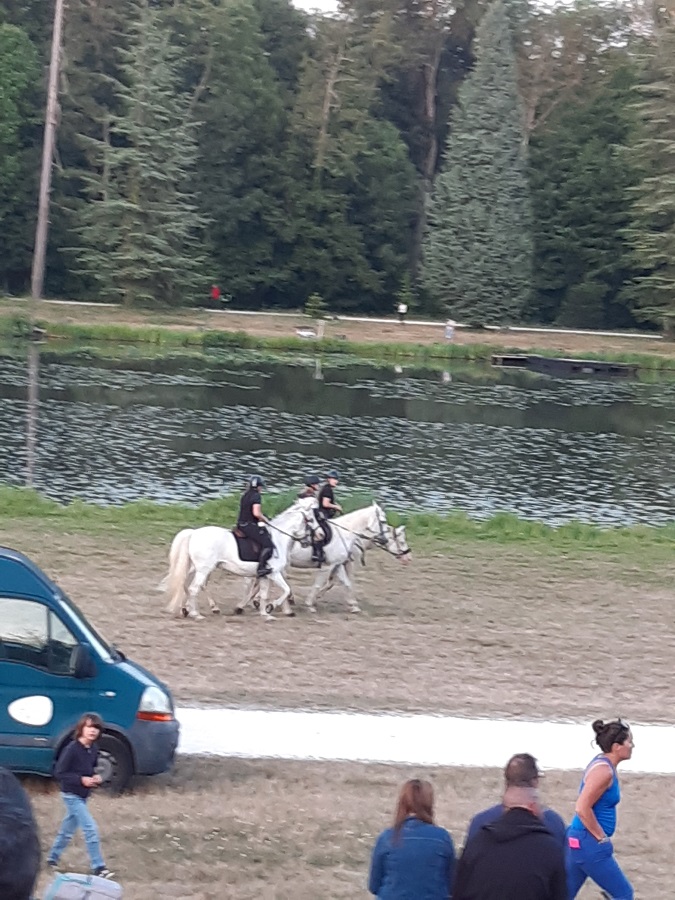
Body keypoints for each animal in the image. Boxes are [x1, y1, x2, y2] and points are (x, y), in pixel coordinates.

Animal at [163, 500, 322, 620]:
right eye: (311, 520)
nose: (320, 535)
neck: (278, 539)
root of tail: (194, 533)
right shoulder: (274, 573)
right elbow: (286, 590)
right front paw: (272, 606)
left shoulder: (265, 575)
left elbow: (264, 594)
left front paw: (265, 614)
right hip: (204, 570)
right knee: (193, 588)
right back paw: (196, 614)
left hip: (196, 568)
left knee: (186, 585)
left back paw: (187, 610)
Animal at [243, 502, 412, 616]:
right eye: (382, 521)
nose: (408, 558)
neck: (348, 535)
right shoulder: (330, 566)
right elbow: (321, 585)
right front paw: (311, 604)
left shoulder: (338, 565)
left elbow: (346, 584)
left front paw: (353, 605)